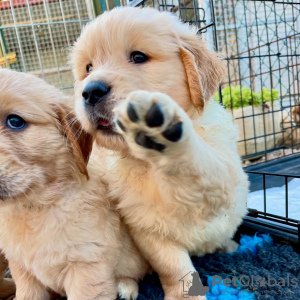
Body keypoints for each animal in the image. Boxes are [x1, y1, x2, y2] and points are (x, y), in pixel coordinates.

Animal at [72, 7, 248, 300]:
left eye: (138, 57)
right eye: (88, 68)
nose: (90, 91)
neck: (150, 163)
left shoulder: (226, 179)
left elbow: (202, 165)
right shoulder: (147, 226)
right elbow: (173, 266)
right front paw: (183, 294)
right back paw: (124, 285)